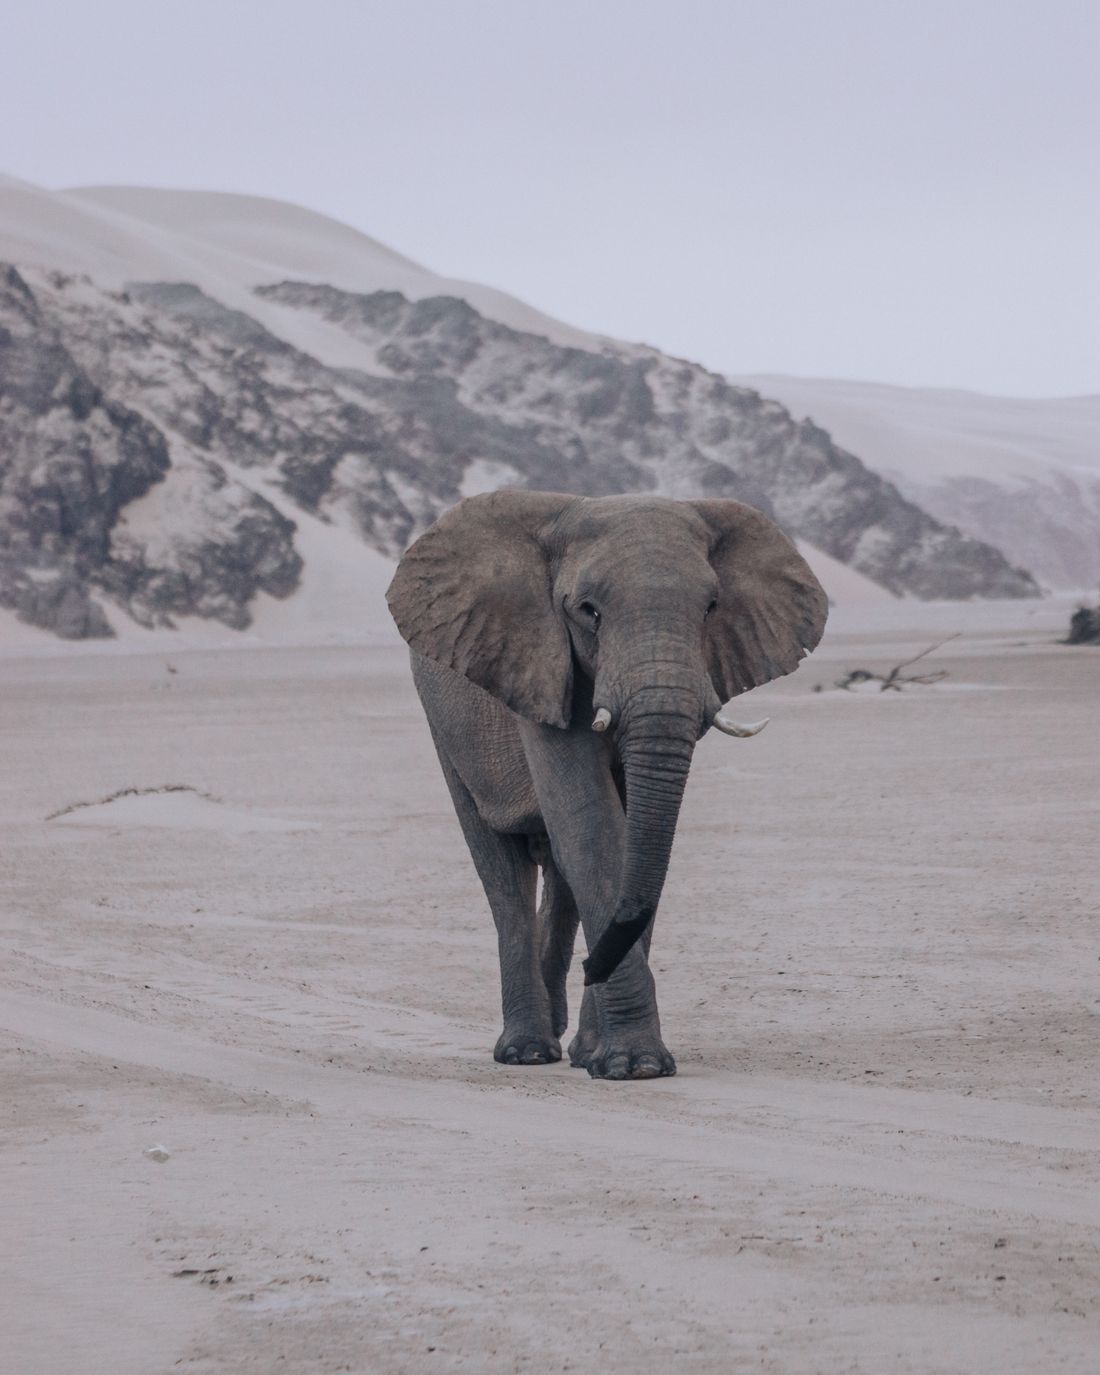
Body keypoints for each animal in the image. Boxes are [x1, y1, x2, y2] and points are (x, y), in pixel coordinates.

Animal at [386, 491, 827, 1079]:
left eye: (711, 608)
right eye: (588, 611)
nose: (591, 967)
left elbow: (630, 836)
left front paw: (607, 1058)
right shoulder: (539, 661)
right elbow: (594, 825)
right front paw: (635, 1066)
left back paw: (564, 1045)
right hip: (445, 725)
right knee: (502, 870)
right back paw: (526, 1052)